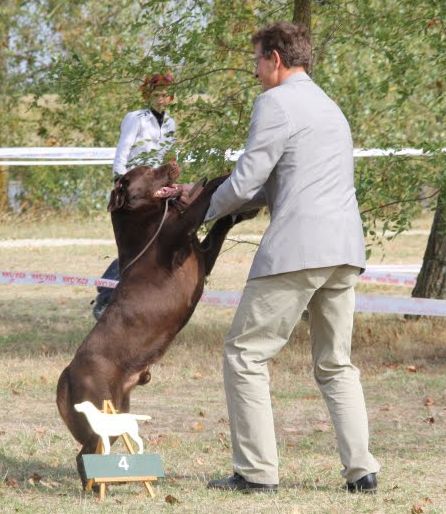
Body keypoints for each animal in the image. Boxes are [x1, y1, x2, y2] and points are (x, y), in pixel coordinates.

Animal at [55, 163, 258, 484]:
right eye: (149, 171)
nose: (173, 162)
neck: (146, 223)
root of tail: (67, 374)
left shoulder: (202, 258)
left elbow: (218, 228)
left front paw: (237, 213)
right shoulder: (178, 236)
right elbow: (203, 200)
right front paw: (222, 176)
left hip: (119, 409)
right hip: (101, 410)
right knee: (85, 454)